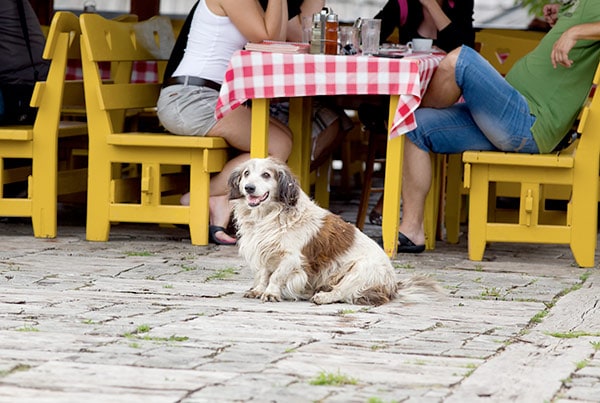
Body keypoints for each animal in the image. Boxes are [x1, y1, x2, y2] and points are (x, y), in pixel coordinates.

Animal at [227, 158, 438, 306]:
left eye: (266, 175)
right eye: (246, 173)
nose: (249, 187)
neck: (269, 216)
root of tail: (393, 285)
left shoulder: (291, 258)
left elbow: (276, 276)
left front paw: (271, 293)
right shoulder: (264, 251)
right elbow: (264, 274)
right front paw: (258, 290)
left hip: (358, 271)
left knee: (342, 293)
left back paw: (323, 297)